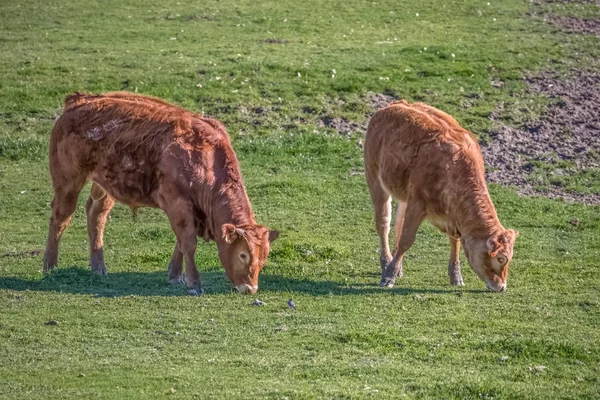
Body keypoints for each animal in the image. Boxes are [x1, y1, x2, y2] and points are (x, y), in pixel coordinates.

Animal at [44, 92, 278, 296]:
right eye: (243, 254)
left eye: (264, 258)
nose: (250, 288)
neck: (205, 157)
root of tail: (80, 100)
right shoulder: (178, 204)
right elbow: (188, 243)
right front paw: (194, 283)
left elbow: (181, 244)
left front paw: (175, 276)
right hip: (68, 182)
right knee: (60, 217)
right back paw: (50, 266)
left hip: (104, 185)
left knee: (96, 214)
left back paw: (98, 267)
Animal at [364, 99, 516, 294]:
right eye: (501, 259)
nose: (501, 286)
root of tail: (396, 104)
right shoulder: (418, 203)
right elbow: (407, 239)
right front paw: (389, 276)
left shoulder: (452, 216)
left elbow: (455, 242)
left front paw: (456, 276)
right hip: (375, 177)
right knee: (383, 224)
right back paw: (387, 263)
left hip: (403, 194)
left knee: (398, 222)